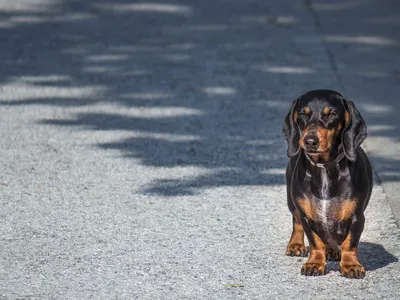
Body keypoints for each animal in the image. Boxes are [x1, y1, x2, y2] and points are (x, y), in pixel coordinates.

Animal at [282, 89, 372, 278]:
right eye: (303, 113)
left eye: (331, 114)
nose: (309, 141)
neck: (324, 166)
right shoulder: (307, 217)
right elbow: (315, 242)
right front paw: (315, 263)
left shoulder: (357, 217)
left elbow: (349, 243)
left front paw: (351, 265)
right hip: (292, 202)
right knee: (296, 222)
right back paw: (296, 245)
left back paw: (332, 250)